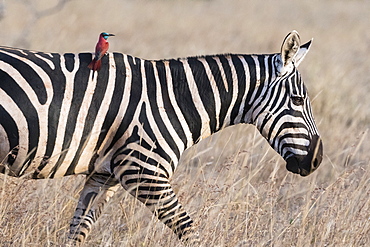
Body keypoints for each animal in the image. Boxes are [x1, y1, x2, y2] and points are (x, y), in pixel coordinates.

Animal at [0, 31, 322, 245]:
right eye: (297, 100)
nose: (317, 161)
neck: (174, 99)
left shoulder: (104, 176)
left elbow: (78, 229)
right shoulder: (143, 171)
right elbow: (188, 228)